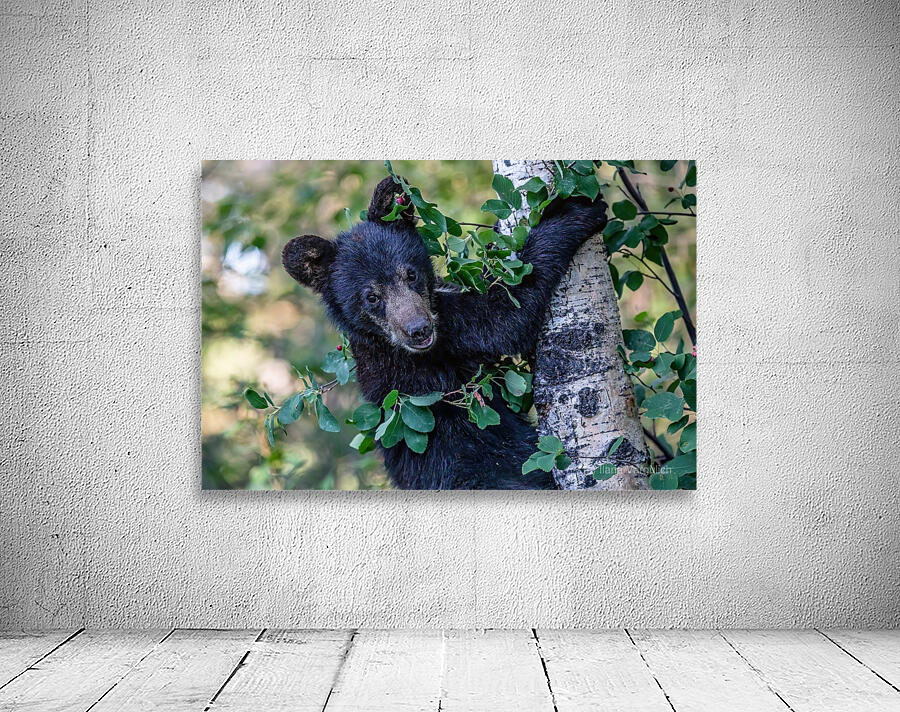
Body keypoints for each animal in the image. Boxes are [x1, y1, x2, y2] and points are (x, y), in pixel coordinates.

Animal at [282, 175, 608, 490]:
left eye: (411, 274)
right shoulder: (446, 341)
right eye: (371, 297)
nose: (418, 329)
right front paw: (572, 211)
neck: (383, 342)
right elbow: (505, 317)